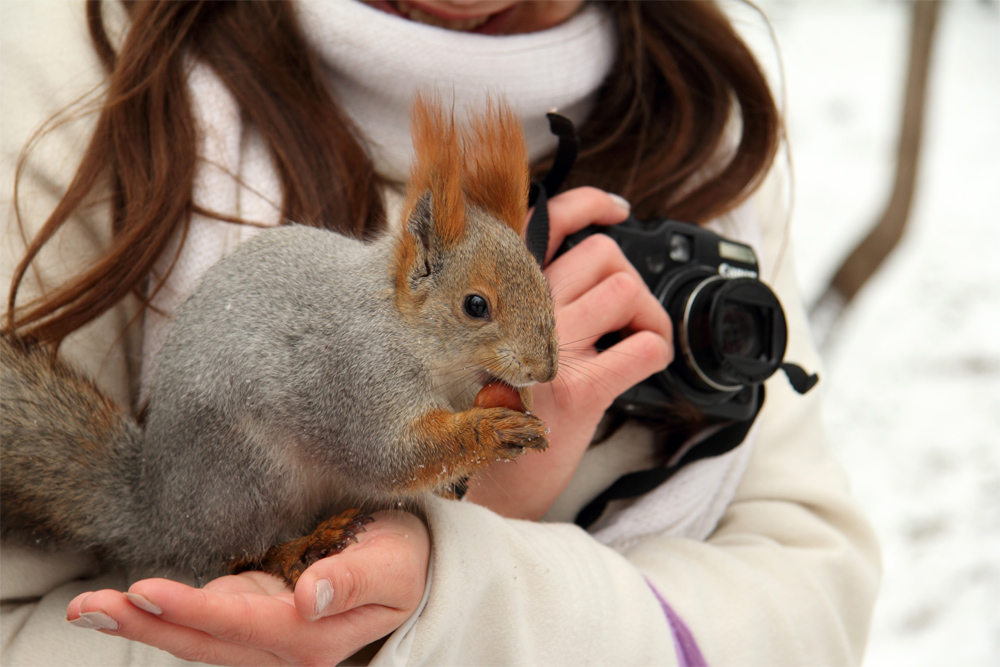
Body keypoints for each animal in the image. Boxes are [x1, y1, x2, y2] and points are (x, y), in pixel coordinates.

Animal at [0, 96, 560, 588]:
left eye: (542, 280)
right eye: (475, 305)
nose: (546, 370)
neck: (409, 336)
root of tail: (157, 511)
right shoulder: (356, 382)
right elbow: (389, 455)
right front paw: (491, 431)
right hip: (251, 481)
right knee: (241, 554)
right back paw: (303, 546)